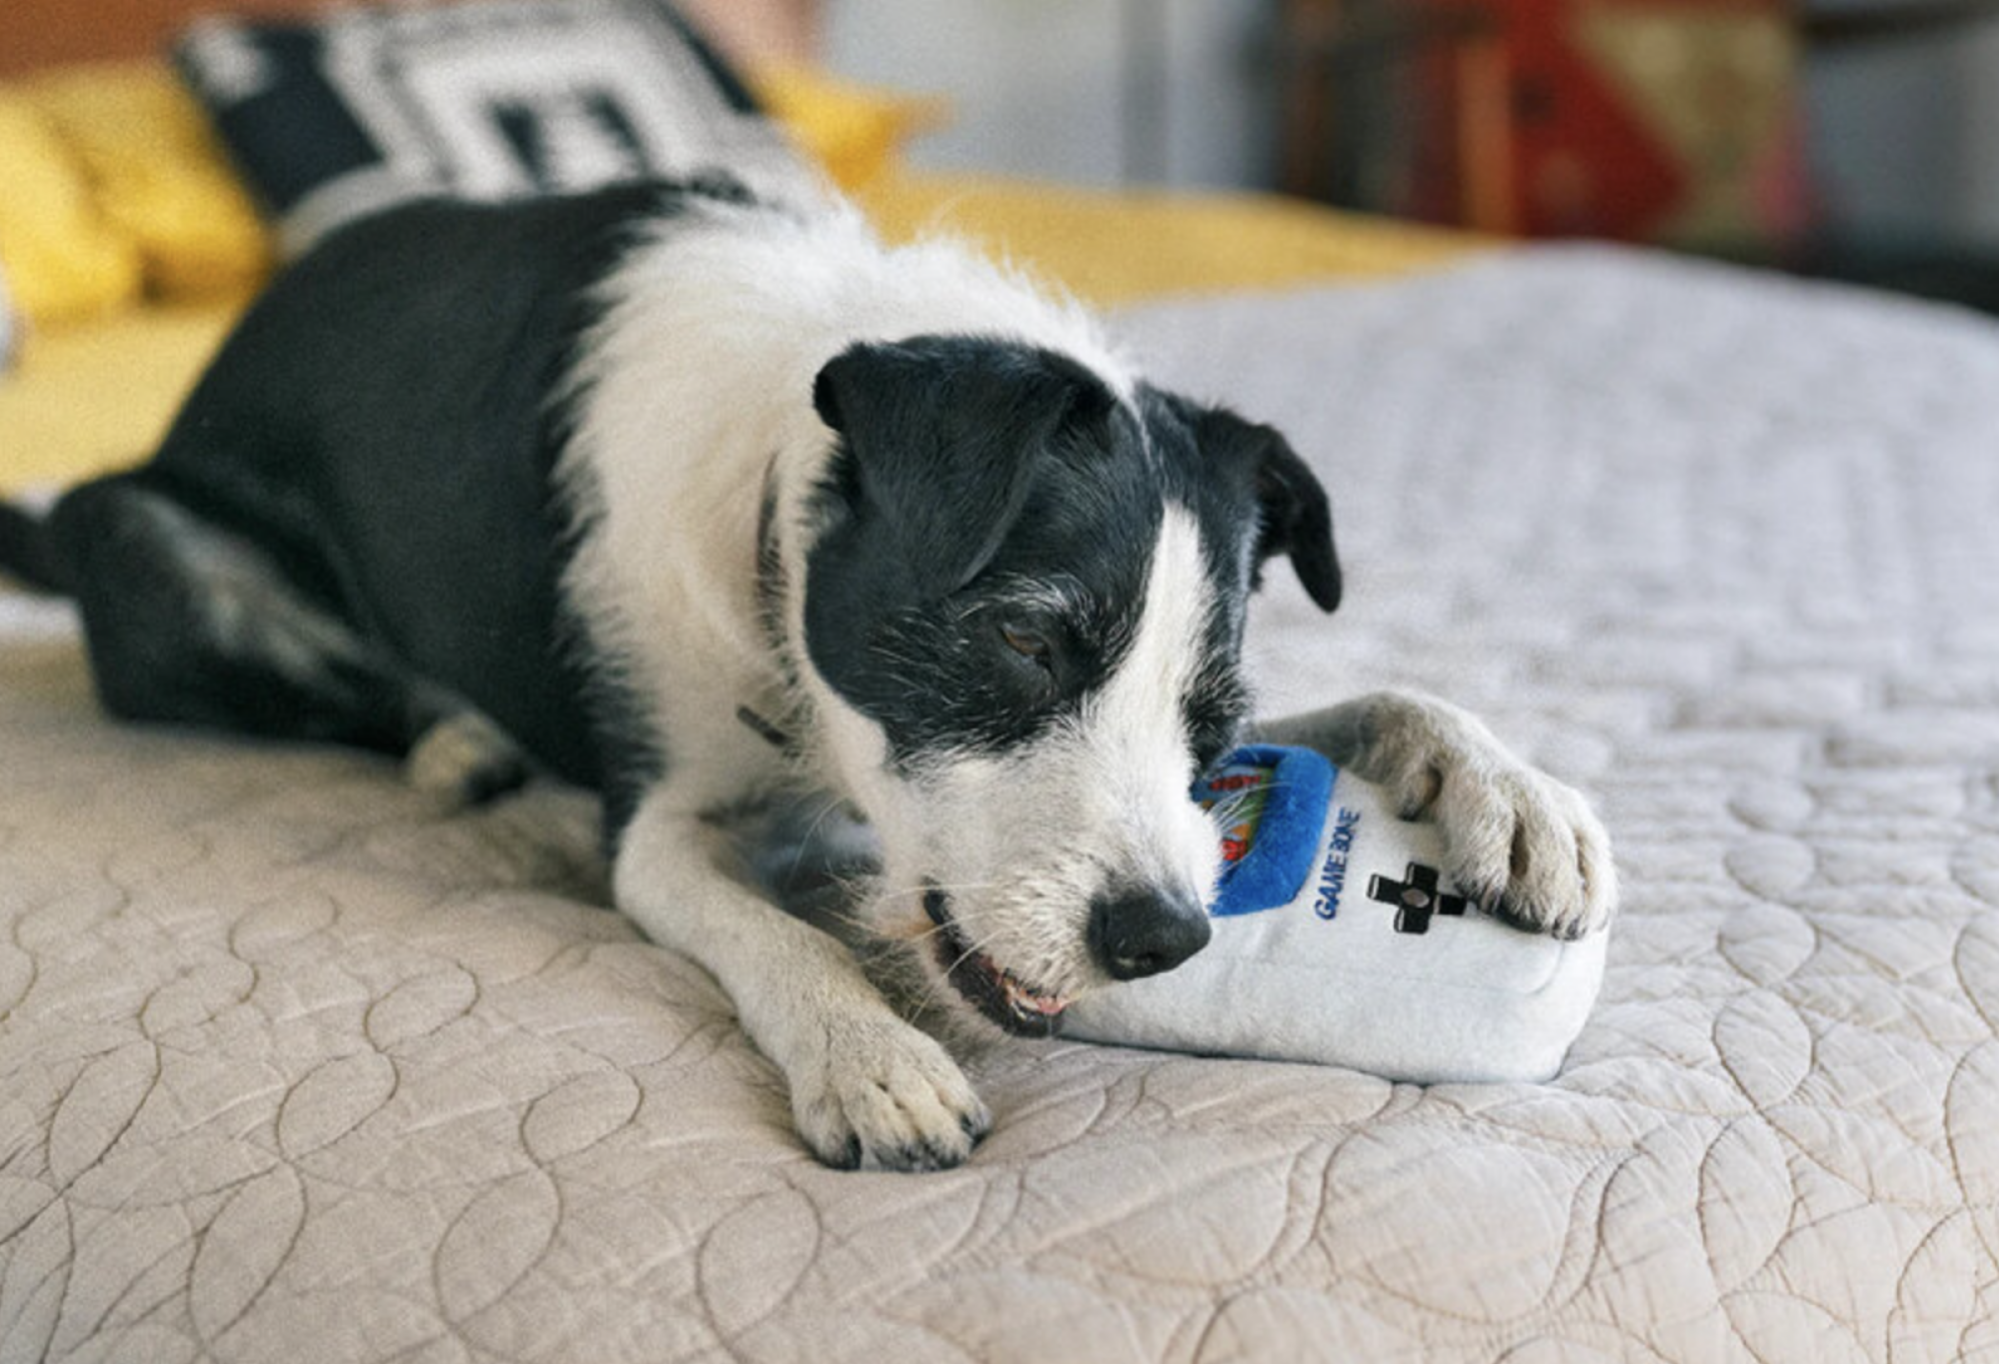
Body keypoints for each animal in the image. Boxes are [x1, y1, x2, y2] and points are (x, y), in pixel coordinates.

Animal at [0, 175, 1615, 1160]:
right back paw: (477, 761)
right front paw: (869, 1056)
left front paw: (1510, 792)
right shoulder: (655, 829)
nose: (1165, 940)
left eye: (1214, 716)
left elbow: (1380, 694)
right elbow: (772, 932)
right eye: (1018, 638)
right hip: (146, 542)